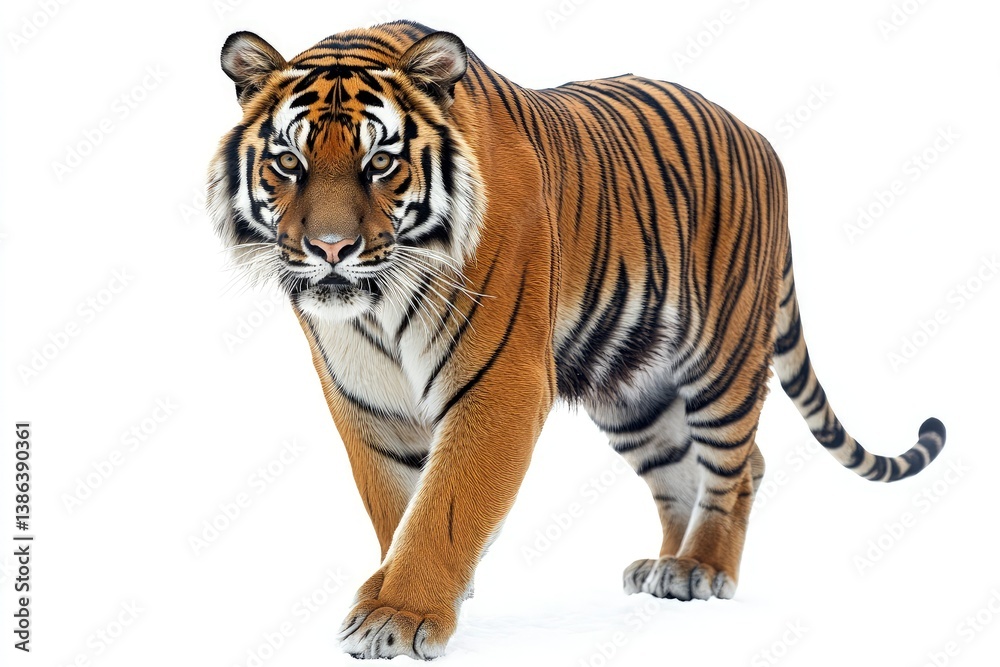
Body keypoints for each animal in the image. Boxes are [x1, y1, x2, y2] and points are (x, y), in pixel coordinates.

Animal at [206, 20, 948, 659]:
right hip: (633, 390)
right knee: (684, 467)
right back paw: (666, 565)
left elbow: (444, 506)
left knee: (739, 466)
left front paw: (401, 614)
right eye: (289, 162)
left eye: (381, 162)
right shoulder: (364, 400)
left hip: (722, 356)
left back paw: (703, 567)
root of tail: (761, 139)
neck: (378, 306)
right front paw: (403, 591)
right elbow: (398, 504)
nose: (331, 248)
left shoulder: (499, 385)